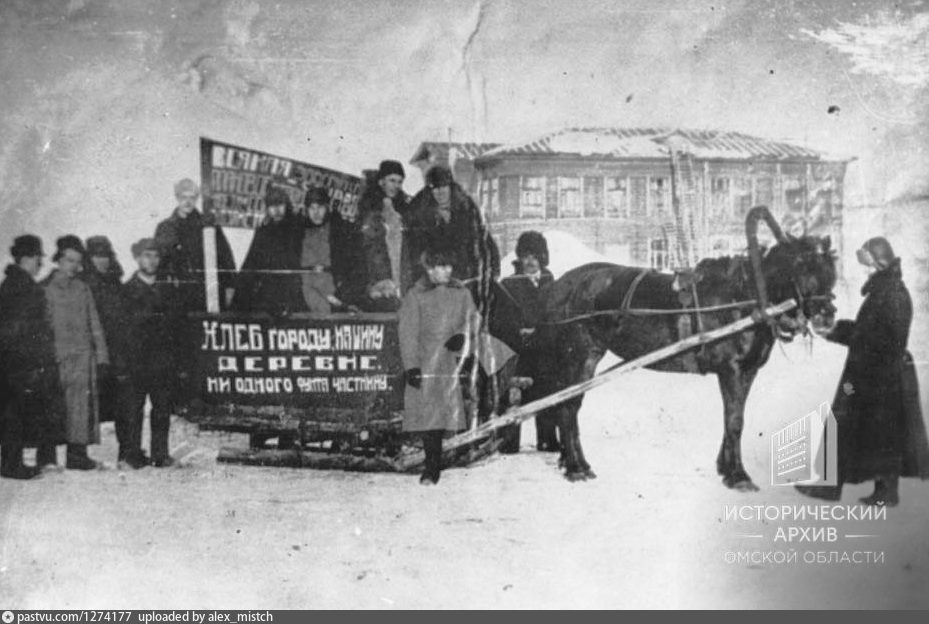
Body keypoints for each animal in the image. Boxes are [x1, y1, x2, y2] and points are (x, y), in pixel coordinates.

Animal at [532, 205, 836, 488]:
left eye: (830, 270)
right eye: (801, 265)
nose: (827, 315)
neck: (746, 298)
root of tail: (559, 286)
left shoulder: (748, 371)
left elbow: (734, 418)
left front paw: (724, 468)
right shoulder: (731, 370)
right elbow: (735, 421)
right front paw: (738, 476)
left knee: (569, 407)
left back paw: (578, 463)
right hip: (579, 356)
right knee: (567, 407)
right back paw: (575, 468)